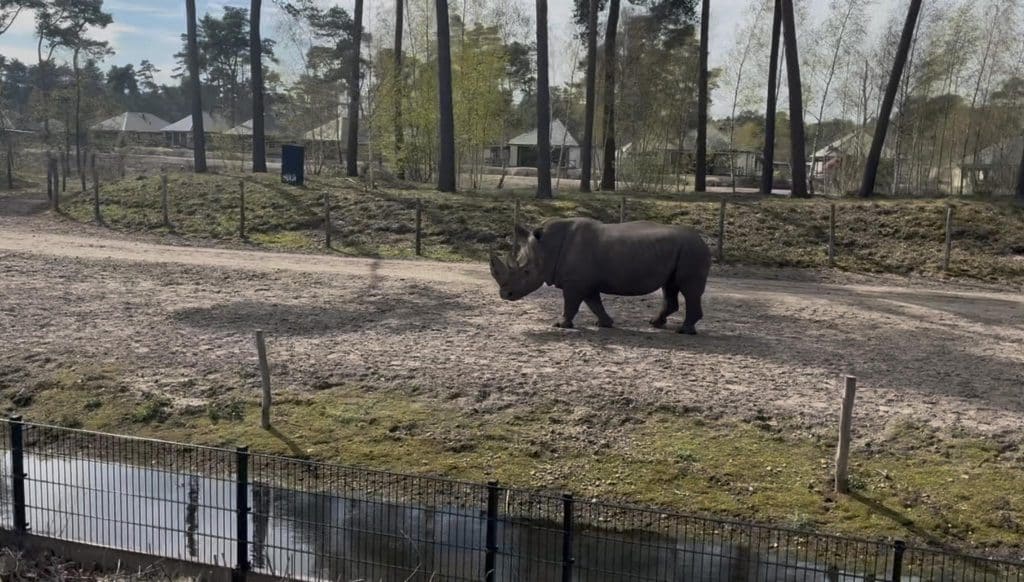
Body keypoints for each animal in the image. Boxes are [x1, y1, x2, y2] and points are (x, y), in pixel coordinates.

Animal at [490, 217, 712, 334]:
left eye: (526, 272)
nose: (505, 295)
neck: (547, 249)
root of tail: (703, 240)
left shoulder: (575, 282)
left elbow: (570, 304)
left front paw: (560, 325)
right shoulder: (584, 282)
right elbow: (594, 303)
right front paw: (604, 324)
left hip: (692, 251)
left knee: (688, 290)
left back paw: (683, 330)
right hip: (682, 252)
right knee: (670, 287)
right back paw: (655, 323)